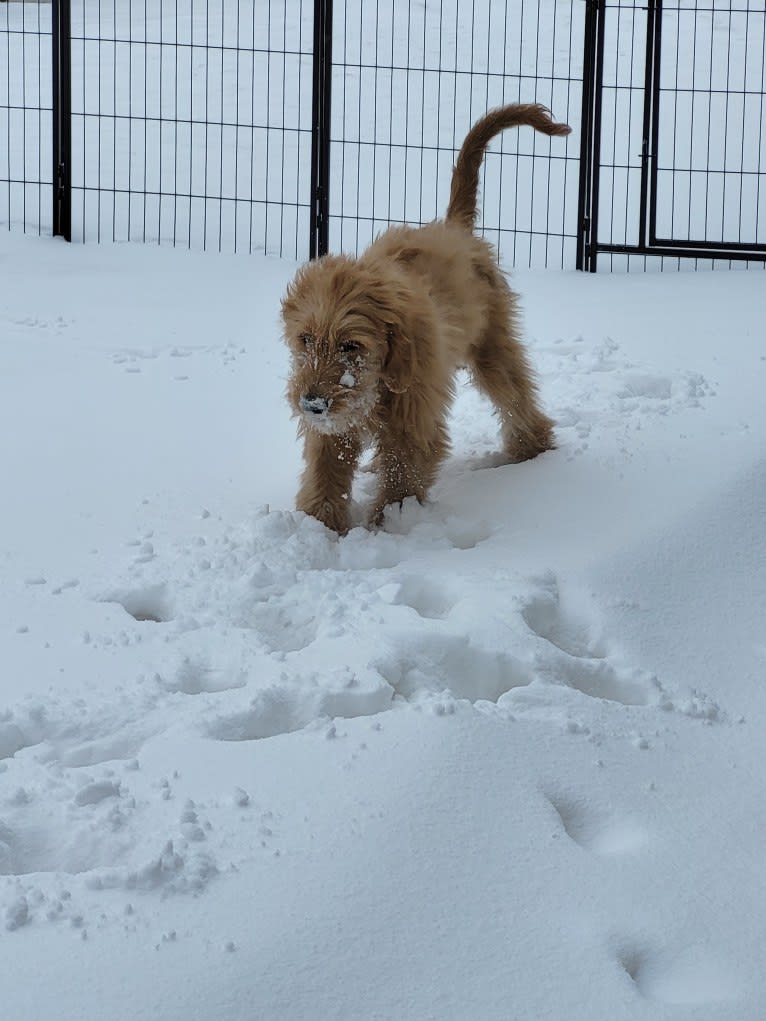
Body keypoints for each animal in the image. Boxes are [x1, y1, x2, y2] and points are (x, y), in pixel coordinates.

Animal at [279, 103, 571, 535]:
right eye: (306, 339)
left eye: (351, 345)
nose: (311, 404)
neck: (379, 379)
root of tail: (453, 227)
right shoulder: (337, 423)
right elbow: (325, 469)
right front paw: (318, 526)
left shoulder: (412, 414)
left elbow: (403, 471)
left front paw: (389, 525)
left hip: (491, 343)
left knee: (515, 392)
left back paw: (530, 449)